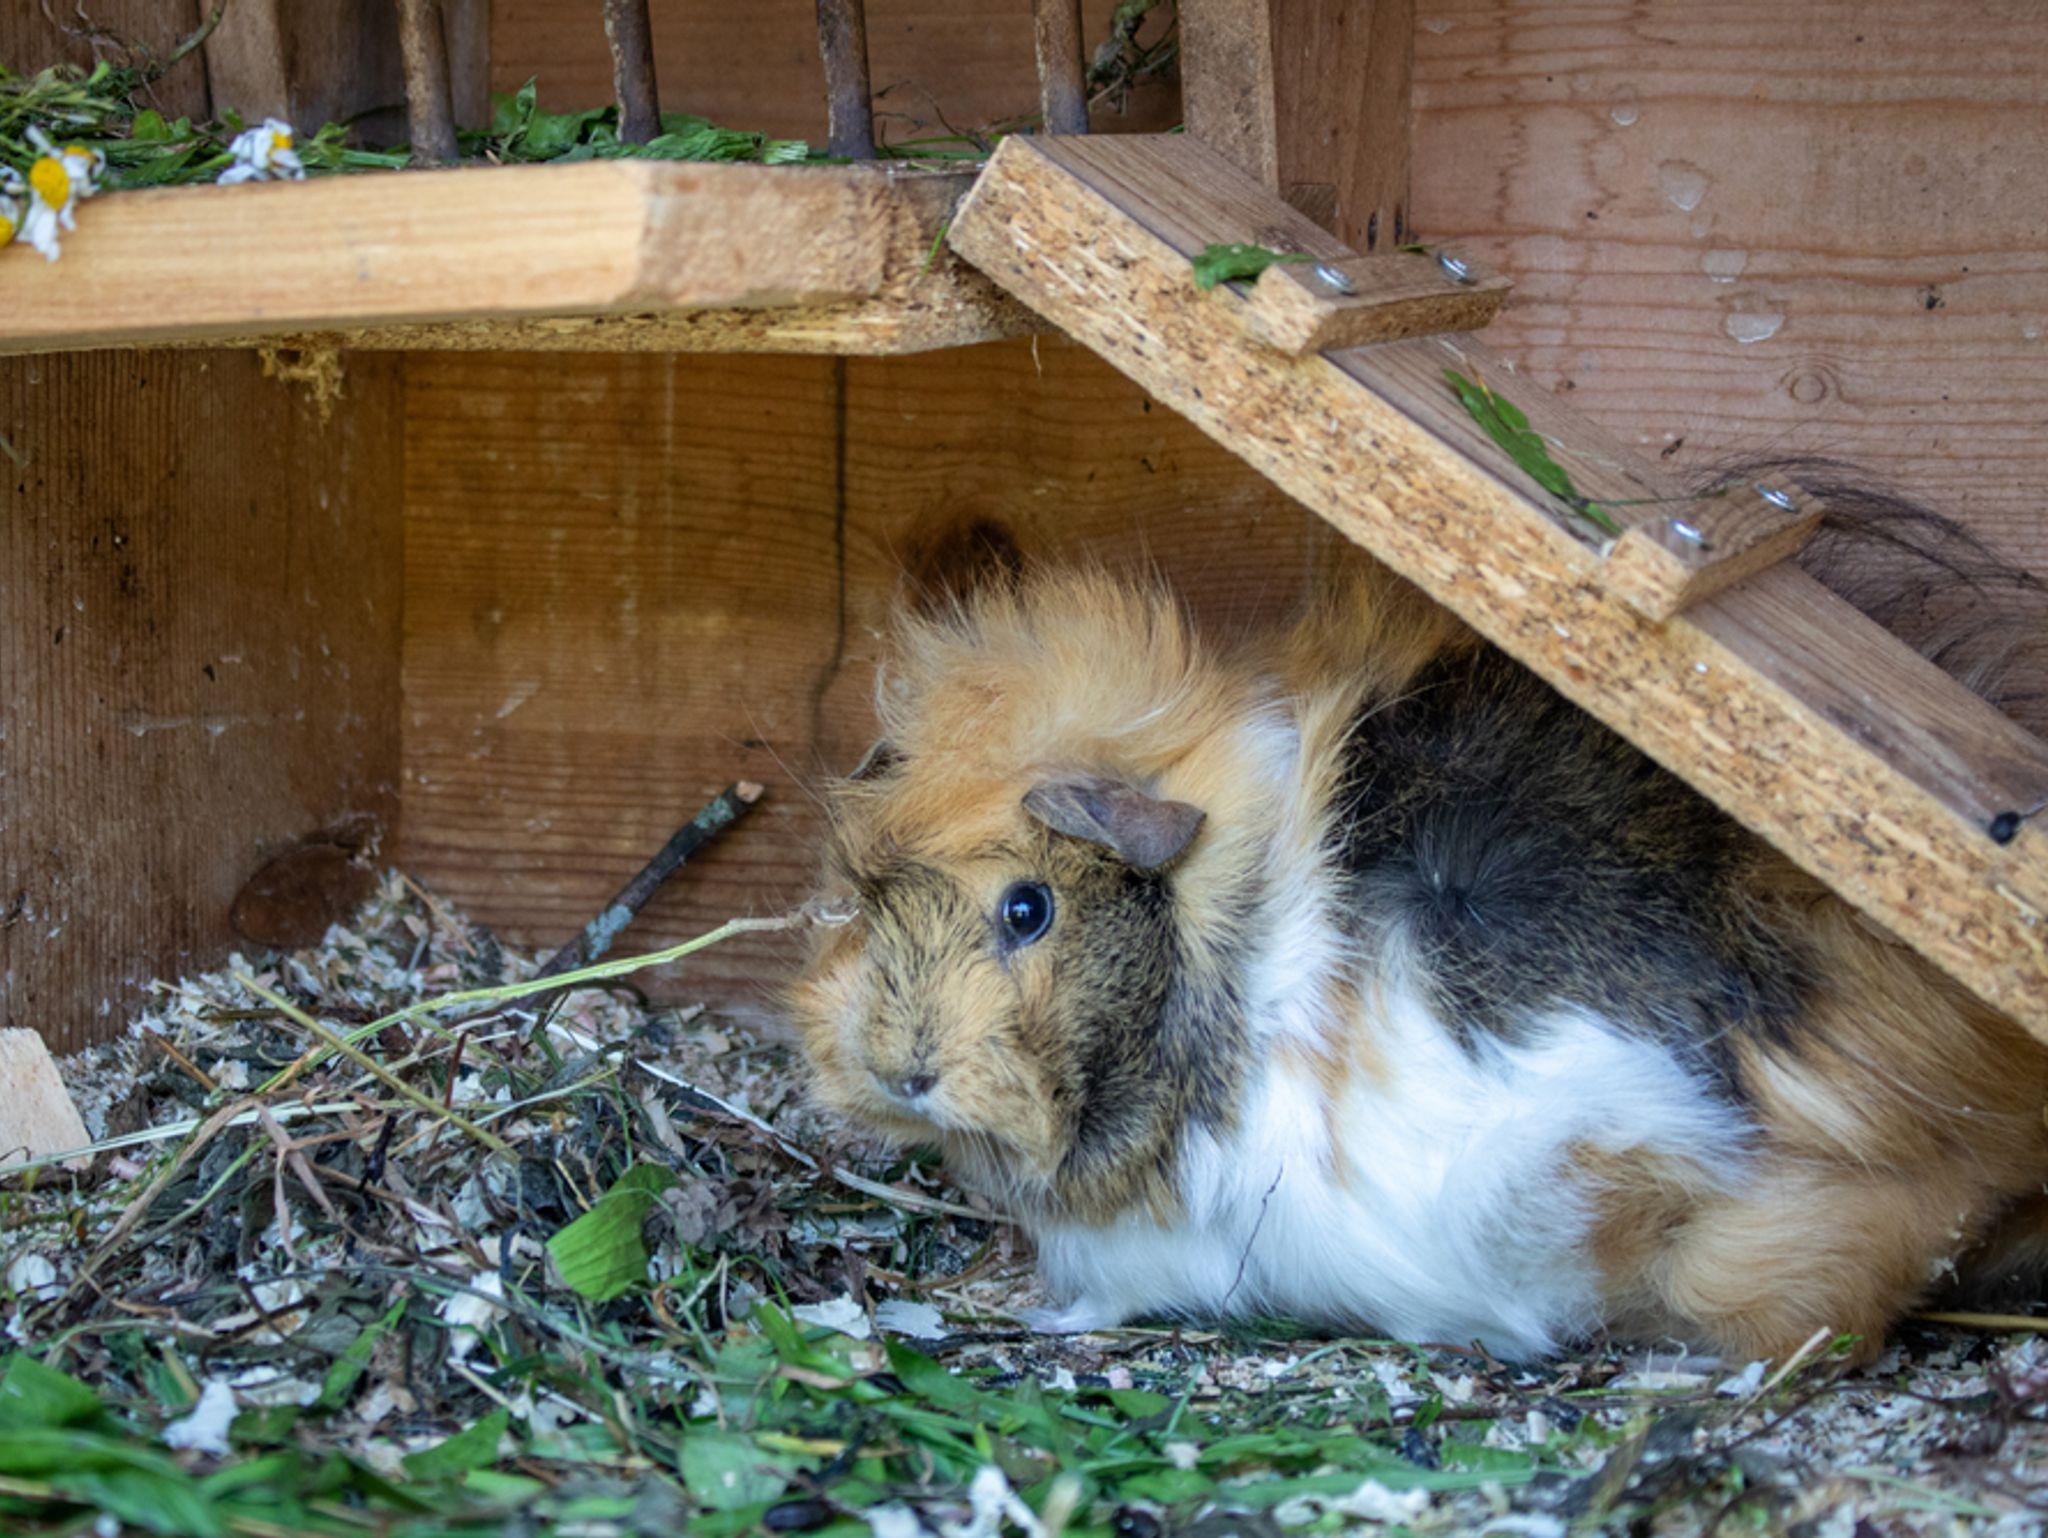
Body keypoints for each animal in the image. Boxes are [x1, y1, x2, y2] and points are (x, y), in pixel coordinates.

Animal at [790, 534, 2048, 1364]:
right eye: (868, 902)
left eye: (1025, 908)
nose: (896, 1066)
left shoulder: (1162, 1249)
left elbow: (1102, 1291)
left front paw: (1027, 1304)